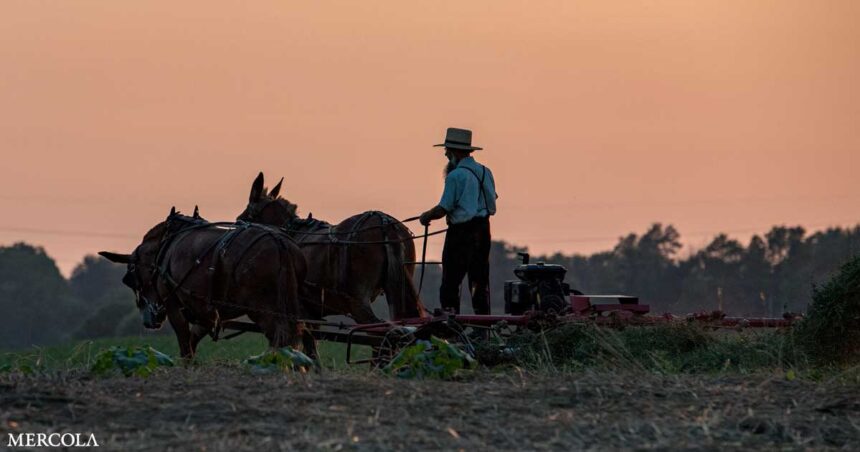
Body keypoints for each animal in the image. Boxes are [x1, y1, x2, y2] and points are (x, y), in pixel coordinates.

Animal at [100, 208, 314, 360]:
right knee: (300, 333)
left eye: (129, 280)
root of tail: (279, 242)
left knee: (281, 336)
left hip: (260, 307)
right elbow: (193, 340)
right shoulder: (207, 311)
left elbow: (185, 343)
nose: (149, 320)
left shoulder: (173, 305)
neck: (164, 246)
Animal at [235, 171, 426, 324]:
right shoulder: (311, 313)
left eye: (244, 217)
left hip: (357, 302)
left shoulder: (302, 311)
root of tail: (384, 222)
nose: (236, 225)